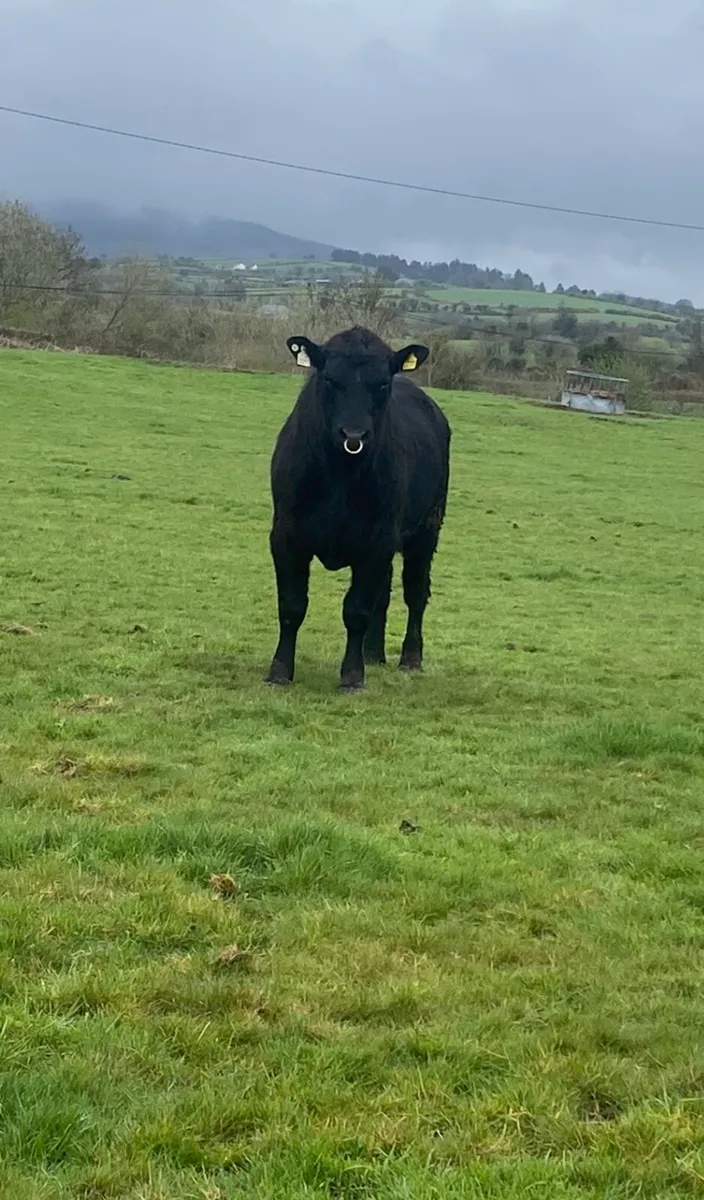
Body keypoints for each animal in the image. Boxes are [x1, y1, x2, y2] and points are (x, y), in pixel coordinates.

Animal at [265, 325, 451, 691]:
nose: (353, 434)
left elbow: (357, 610)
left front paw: (352, 676)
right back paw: (373, 653)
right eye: (329, 380)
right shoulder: (285, 536)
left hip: (426, 530)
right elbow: (291, 605)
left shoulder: (377, 542)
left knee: (415, 592)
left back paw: (410, 657)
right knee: (386, 593)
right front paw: (279, 672)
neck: (339, 475)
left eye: (381, 384)